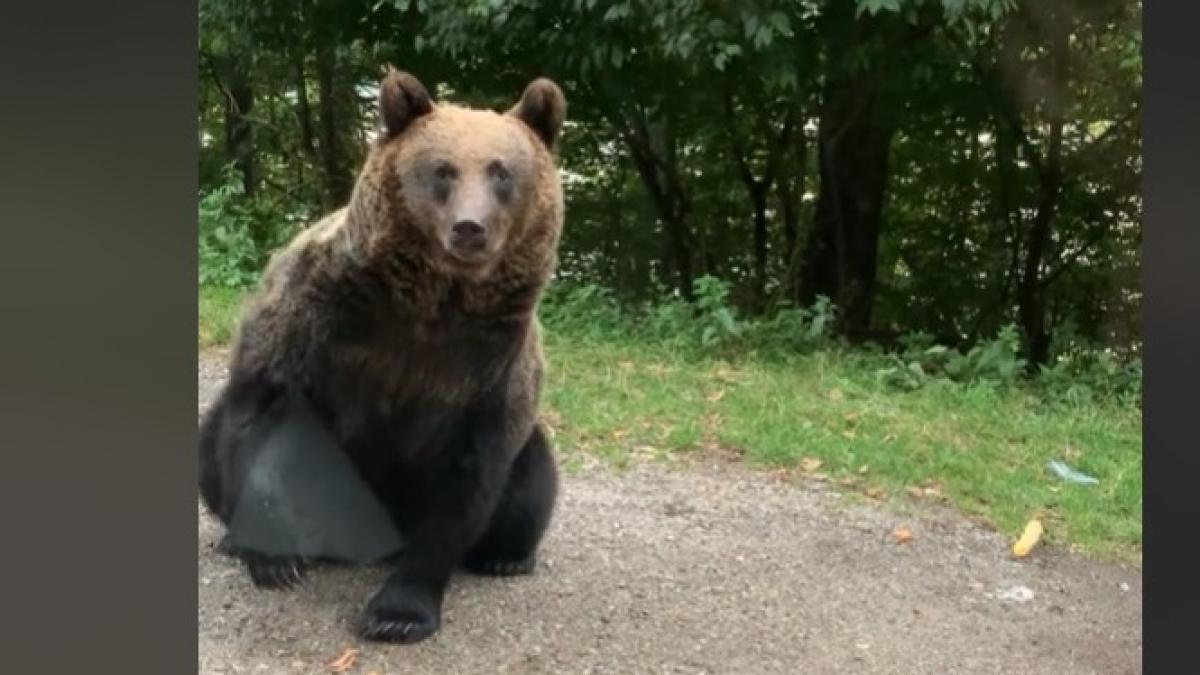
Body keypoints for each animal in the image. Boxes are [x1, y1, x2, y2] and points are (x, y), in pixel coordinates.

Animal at [198, 67, 566, 644]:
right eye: (443, 170)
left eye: (501, 172)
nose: (470, 227)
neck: (429, 302)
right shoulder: (318, 325)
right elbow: (265, 423)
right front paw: (275, 560)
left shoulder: (484, 366)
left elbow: (470, 477)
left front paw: (399, 612)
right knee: (212, 445)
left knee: (531, 480)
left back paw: (507, 557)